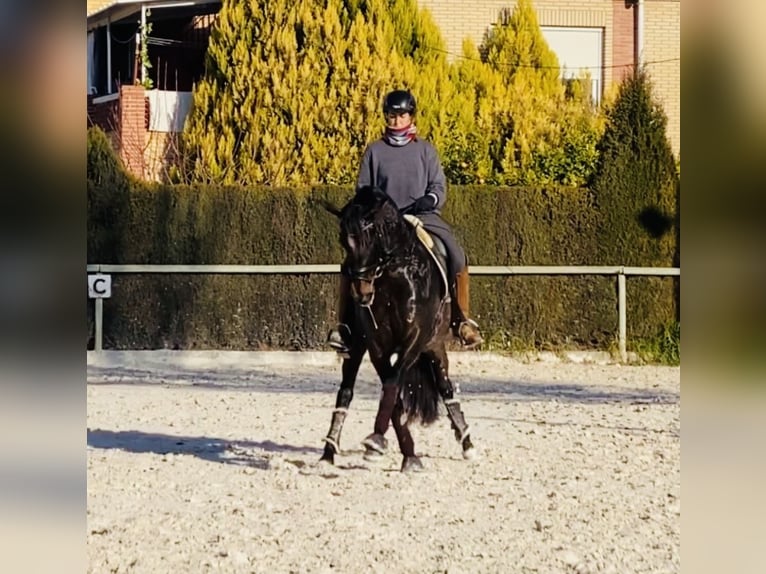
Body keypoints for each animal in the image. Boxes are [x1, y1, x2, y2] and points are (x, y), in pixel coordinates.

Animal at [318, 187, 474, 474]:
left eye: (372, 238)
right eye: (344, 241)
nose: (362, 292)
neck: (395, 276)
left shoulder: (415, 340)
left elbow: (392, 383)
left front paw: (383, 443)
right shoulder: (376, 345)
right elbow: (392, 393)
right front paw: (395, 449)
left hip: (435, 346)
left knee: (446, 389)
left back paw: (467, 443)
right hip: (356, 348)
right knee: (345, 392)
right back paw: (328, 453)